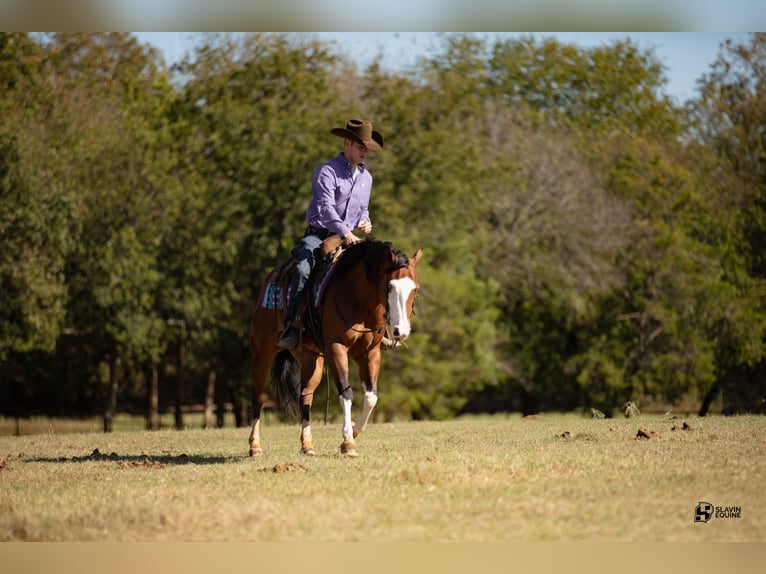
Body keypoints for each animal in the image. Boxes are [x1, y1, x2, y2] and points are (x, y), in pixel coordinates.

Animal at [248, 238, 424, 460]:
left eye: (415, 289)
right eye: (390, 286)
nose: (401, 331)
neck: (358, 298)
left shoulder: (369, 353)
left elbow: (371, 397)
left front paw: (354, 431)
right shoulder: (336, 349)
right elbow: (346, 393)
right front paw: (348, 442)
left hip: (310, 359)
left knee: (305, 396)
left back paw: (307, 445)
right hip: (261, 352)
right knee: (258, 396)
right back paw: (255, 446)